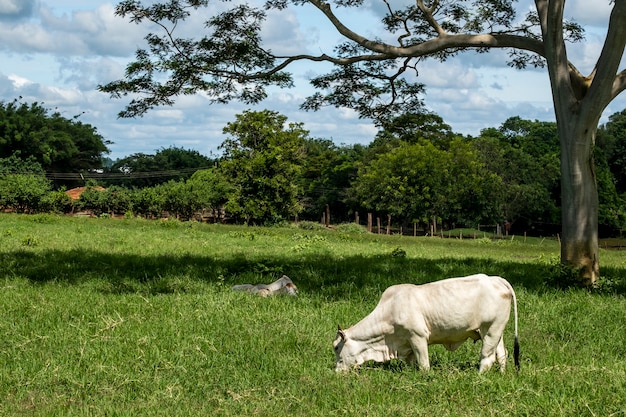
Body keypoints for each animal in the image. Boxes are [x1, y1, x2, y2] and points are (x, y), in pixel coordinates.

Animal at [332, 274, 516, 372]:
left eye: (335, 347)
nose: (336, 371)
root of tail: (495, 279)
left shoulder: (418, 337)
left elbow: (423, 364)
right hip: (495, 331)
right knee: (502, 353)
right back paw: (501, 373)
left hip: (490, 330)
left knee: (487, 357)